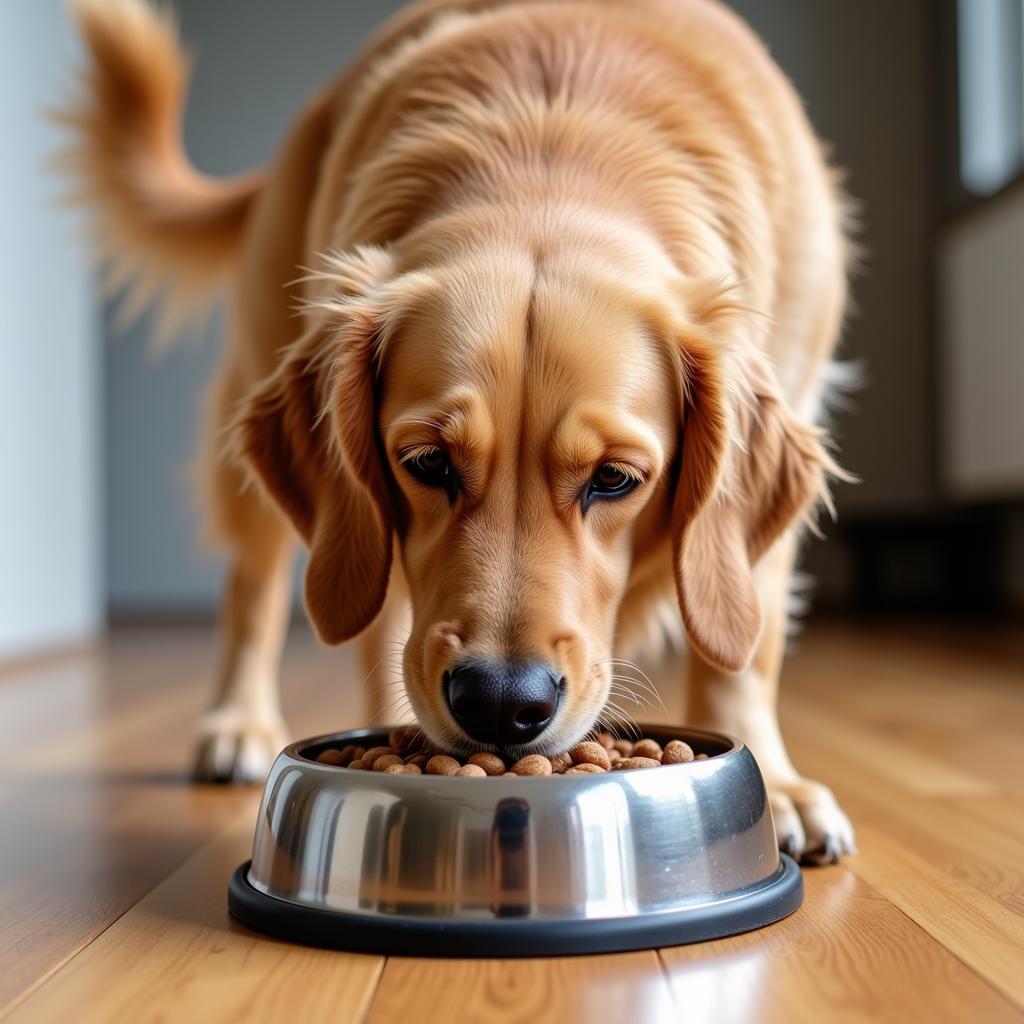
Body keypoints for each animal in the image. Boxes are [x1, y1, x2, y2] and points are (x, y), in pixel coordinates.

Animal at [66, 0, 856, 864]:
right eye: (427, 463)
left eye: (614, 478)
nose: (502, 704)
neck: (555, 151)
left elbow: (742, 650)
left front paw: (777, 786)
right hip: (260, 371)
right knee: (257, 584)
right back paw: (239, 721)